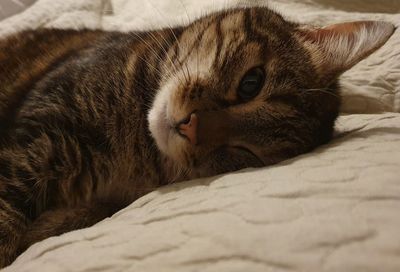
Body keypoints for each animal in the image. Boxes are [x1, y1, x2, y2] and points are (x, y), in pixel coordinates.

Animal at [0, 5, 394, 266]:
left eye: (244, 154)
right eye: (252, 83)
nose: (190, 126)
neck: (133, 152)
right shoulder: (37, 135)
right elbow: (7, 208)